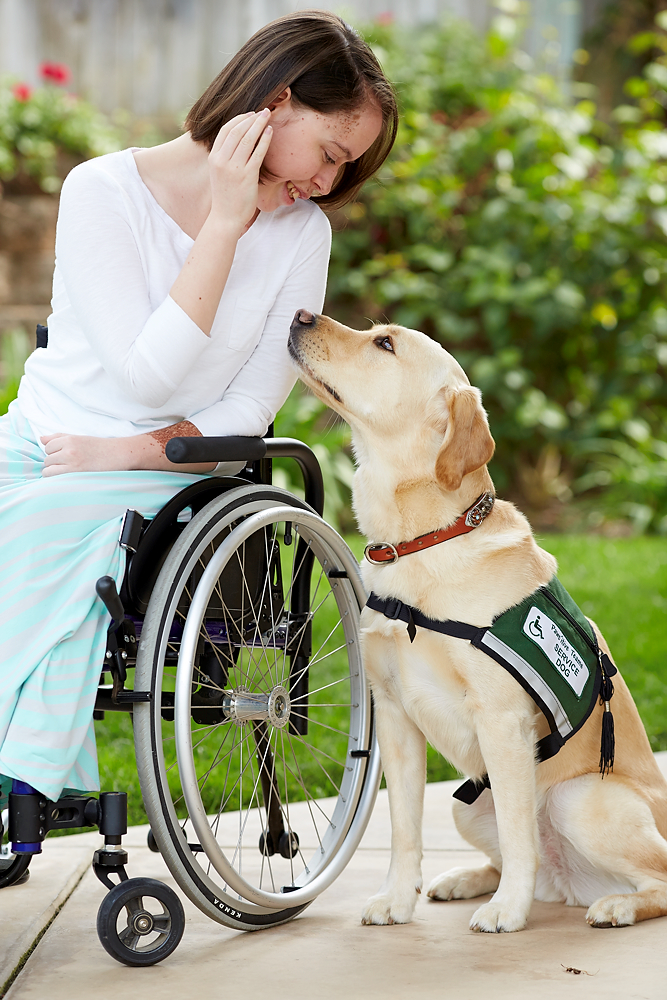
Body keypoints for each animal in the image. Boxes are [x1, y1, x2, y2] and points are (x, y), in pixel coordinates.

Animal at [288, 308, 667, 932]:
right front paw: (397, 900)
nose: (299, 314)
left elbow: (518, 837)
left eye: (384, 344)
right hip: (467, 807)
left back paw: (614, 905)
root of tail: (573, 887)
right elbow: (404, 830)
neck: (422, 542)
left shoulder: (503, 721)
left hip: (578, 799)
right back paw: (465, 879)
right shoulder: (395, 716)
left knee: (648, 877)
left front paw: (508, 912)